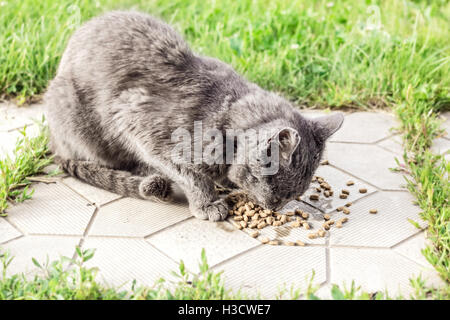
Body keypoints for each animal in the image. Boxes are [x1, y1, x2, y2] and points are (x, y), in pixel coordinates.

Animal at [44, 10, 344, 220]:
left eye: (295, 194)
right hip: (72, 108)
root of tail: (53, 143)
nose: (274, 207)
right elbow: (192, 175)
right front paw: (208, 203)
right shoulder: (136, 119)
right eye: (274, 186)